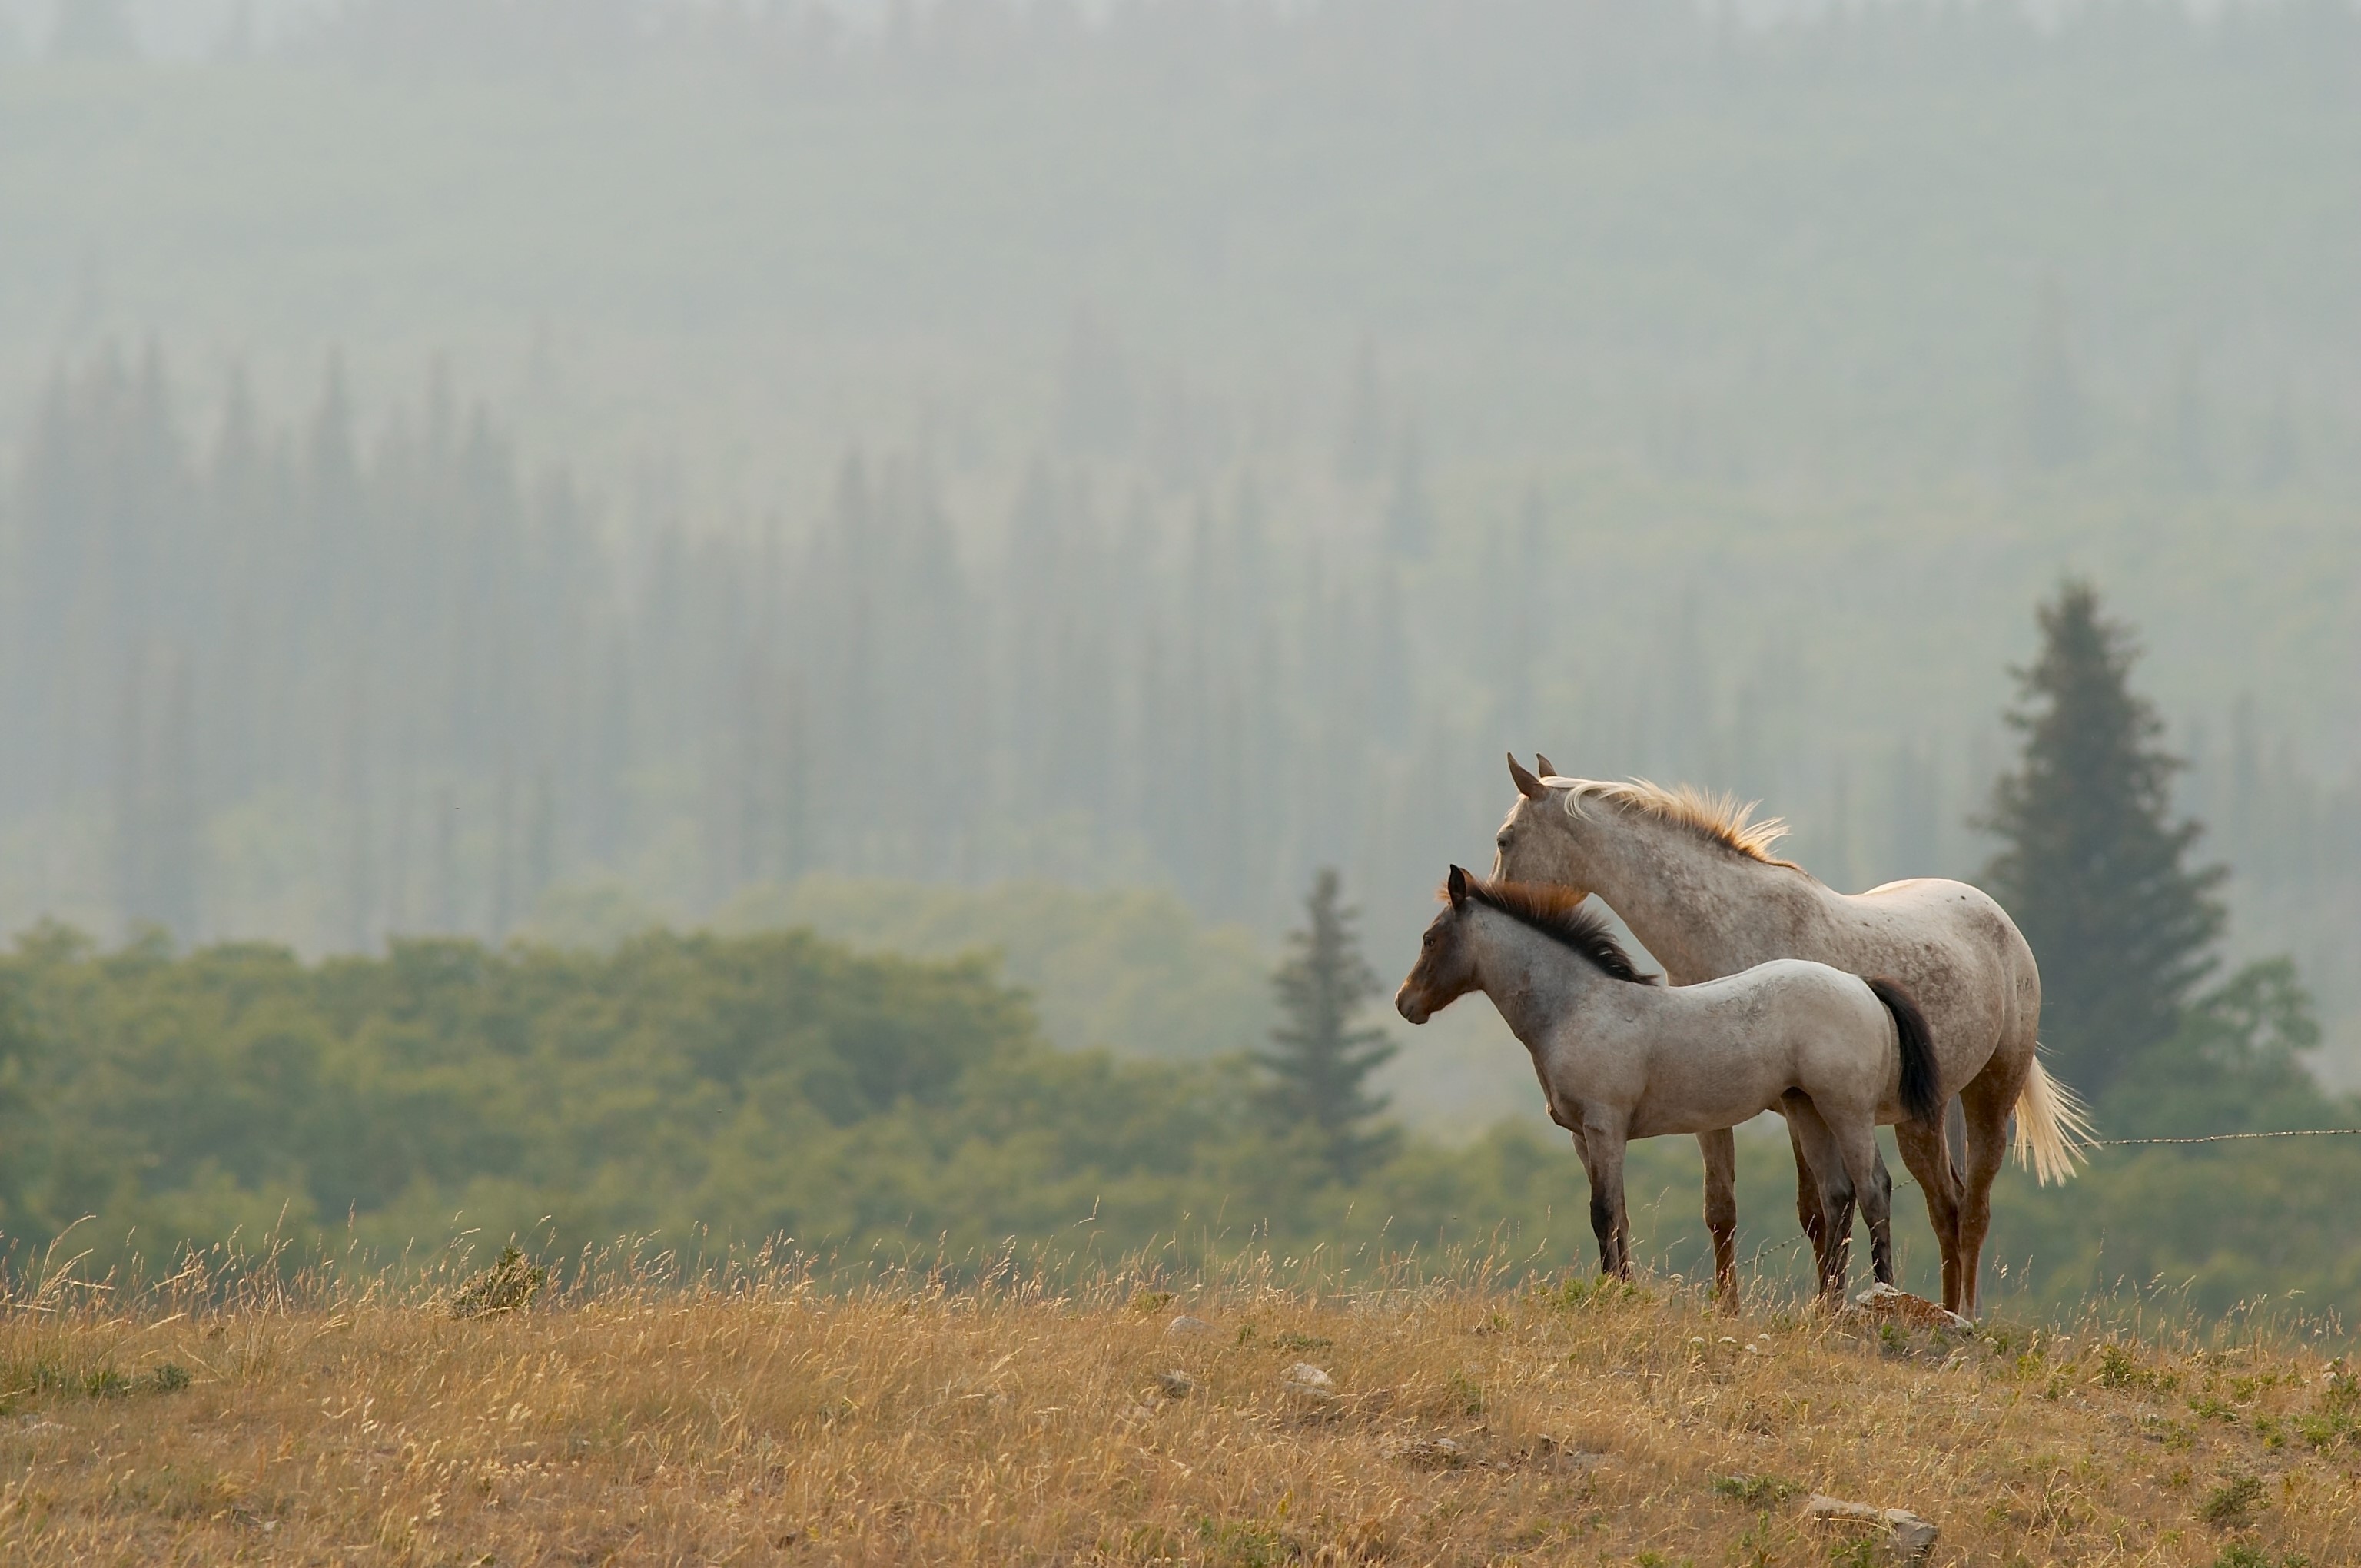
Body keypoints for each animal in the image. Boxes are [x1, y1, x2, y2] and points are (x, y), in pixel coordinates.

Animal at [1395, 866, 1943, 1304]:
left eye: (1429, 939)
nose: (1404, 1004)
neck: (1576, 1008)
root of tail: (1860, 984)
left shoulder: (1604, 1126)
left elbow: (1602, 1213)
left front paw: (1612, 1296)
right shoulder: (1583, 1138)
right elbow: (1618, 1215)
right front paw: (1623, 1289)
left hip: (1848, 1112)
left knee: (1873, 1190)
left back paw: (1881, 1296)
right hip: (1807, 1109)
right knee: (1837, 1196)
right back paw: (1825, 1309)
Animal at [1493, 754, 2090, 1319]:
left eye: (1504, 839)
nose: (1492, 901)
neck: (1730, 926)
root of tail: (1998, 918)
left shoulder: (1799, 1106)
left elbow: (1824, 1210)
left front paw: (1828, 1303)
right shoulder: (1721, 1108)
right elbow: (1727, 1209)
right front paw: (1733, 1308)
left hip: (1986, 1096)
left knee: (1967, 1211)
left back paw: (1959, 1315)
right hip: (1922, 1115)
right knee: (1946, 1205)